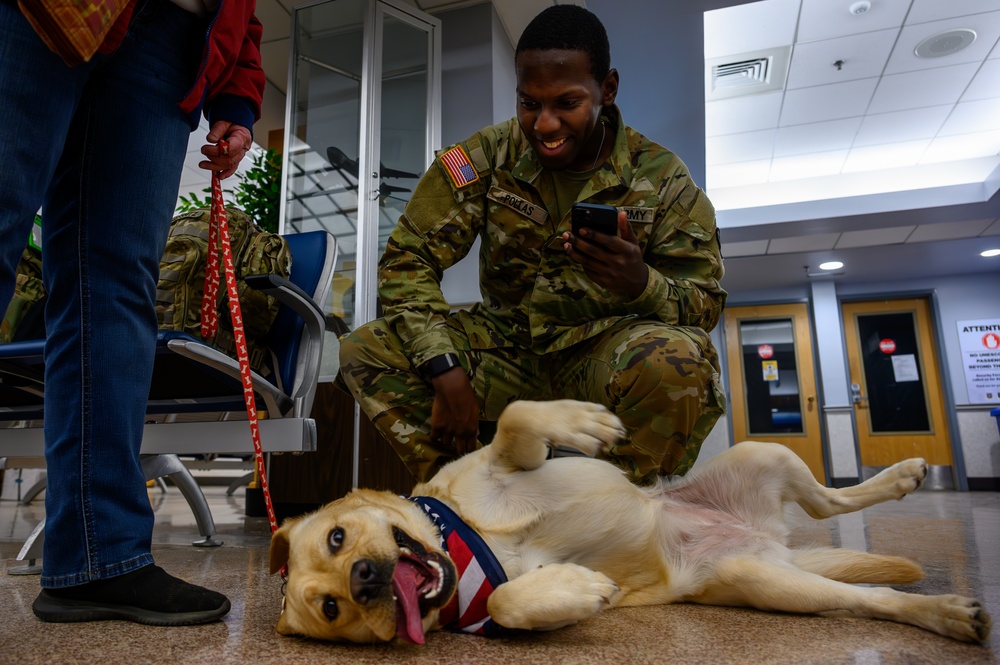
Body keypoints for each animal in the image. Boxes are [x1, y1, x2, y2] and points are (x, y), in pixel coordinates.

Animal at [268, 400, 992, 644]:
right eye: (332, 608)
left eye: (338, 537)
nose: (364, 578)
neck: (461, 539)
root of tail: (769, 541)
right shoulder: (495, 604)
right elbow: (506, 600)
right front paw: (573, 590)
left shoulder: (505, 458)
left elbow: (517, 419)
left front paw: (581, 421)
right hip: (772, 583)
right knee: (868, 595)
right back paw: (943, 612)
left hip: (764, 454)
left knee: (827, 503)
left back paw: (901, 478)